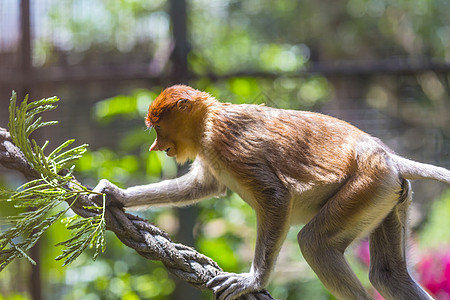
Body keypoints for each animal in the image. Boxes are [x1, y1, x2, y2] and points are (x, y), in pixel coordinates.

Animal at [91, 84, 450, 300]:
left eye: (158, 126)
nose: (155, 147)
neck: (209, 119)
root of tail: (386, 156)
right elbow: (203, 186)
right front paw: (113, 194)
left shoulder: (227, 141)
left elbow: (274, 195)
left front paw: (251, 281)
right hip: (388, 194)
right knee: (388, 275)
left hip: (366, 186)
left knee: (314, 243)